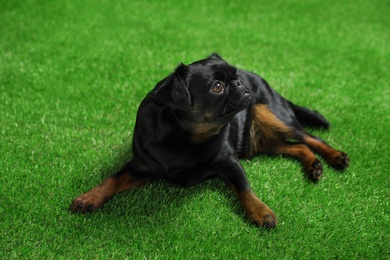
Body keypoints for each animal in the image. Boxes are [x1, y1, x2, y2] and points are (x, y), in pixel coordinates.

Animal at [70, 53, 350, 228]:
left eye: (234, 78)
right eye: (217, 87)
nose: (240, 84)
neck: (185, 139)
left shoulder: (230, 162)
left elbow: (244, 188)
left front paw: (260, 211)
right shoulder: (139, 167)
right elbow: (112, 179)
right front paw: (89, 197)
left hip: (272, 114)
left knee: (309, 137)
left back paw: (335, 157)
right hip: (265, 141)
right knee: (298, 146)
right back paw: (314, 166)